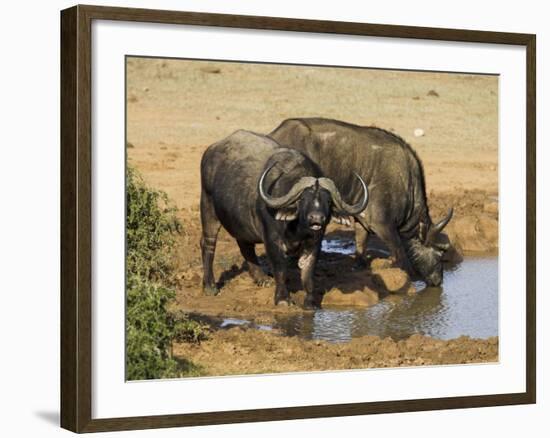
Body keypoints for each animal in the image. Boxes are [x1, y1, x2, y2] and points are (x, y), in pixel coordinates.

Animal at [201, 130, 368, 308]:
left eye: (328, 201)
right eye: (302, 199)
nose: (317, 218)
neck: (296, 229)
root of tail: (211, 150)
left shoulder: (314, 243)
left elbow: (308, 273)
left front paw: (310, 302)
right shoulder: (272, 241)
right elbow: (280, 268)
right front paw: (282, 299)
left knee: (245, 246)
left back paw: (262, 279)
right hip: (208, 208)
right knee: (208, 244)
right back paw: (210, 286)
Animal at [272, 117, 458, 288]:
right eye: (441, 252)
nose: (438, 280)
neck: (407, 184)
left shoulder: (362, 221)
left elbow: (361, 246)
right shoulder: (383, 225)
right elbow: (401, 255)